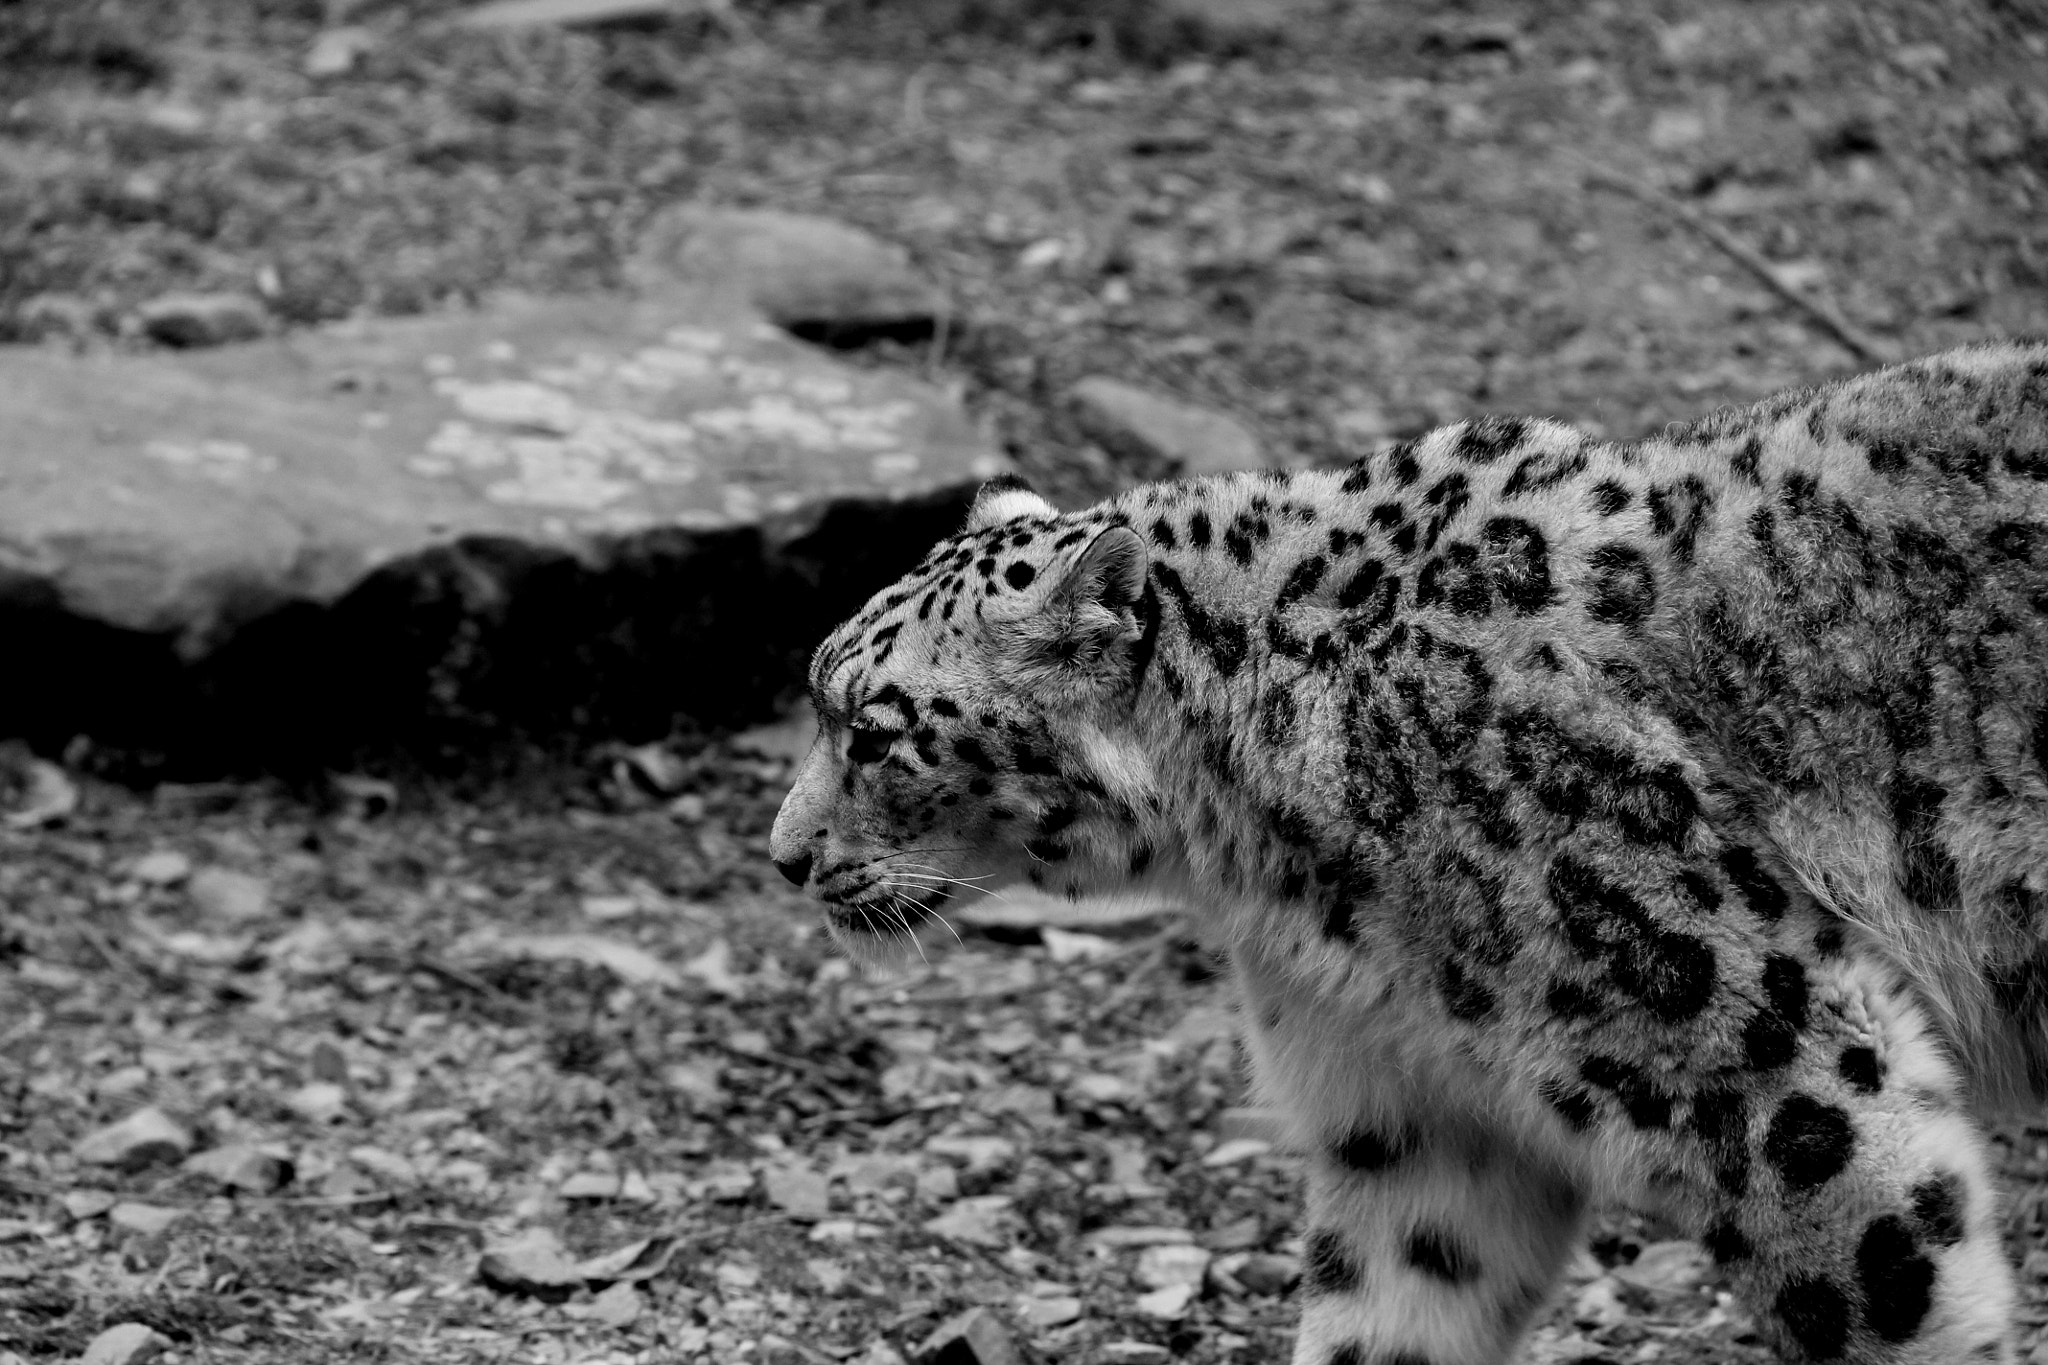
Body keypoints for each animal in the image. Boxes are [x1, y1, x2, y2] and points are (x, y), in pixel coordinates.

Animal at [770, 339, 2048, 1364]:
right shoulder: (1415, 1119)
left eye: (872, 731)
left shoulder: (1769, 1083)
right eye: (820, 692)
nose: (781, 856)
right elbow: (1383, 1317)